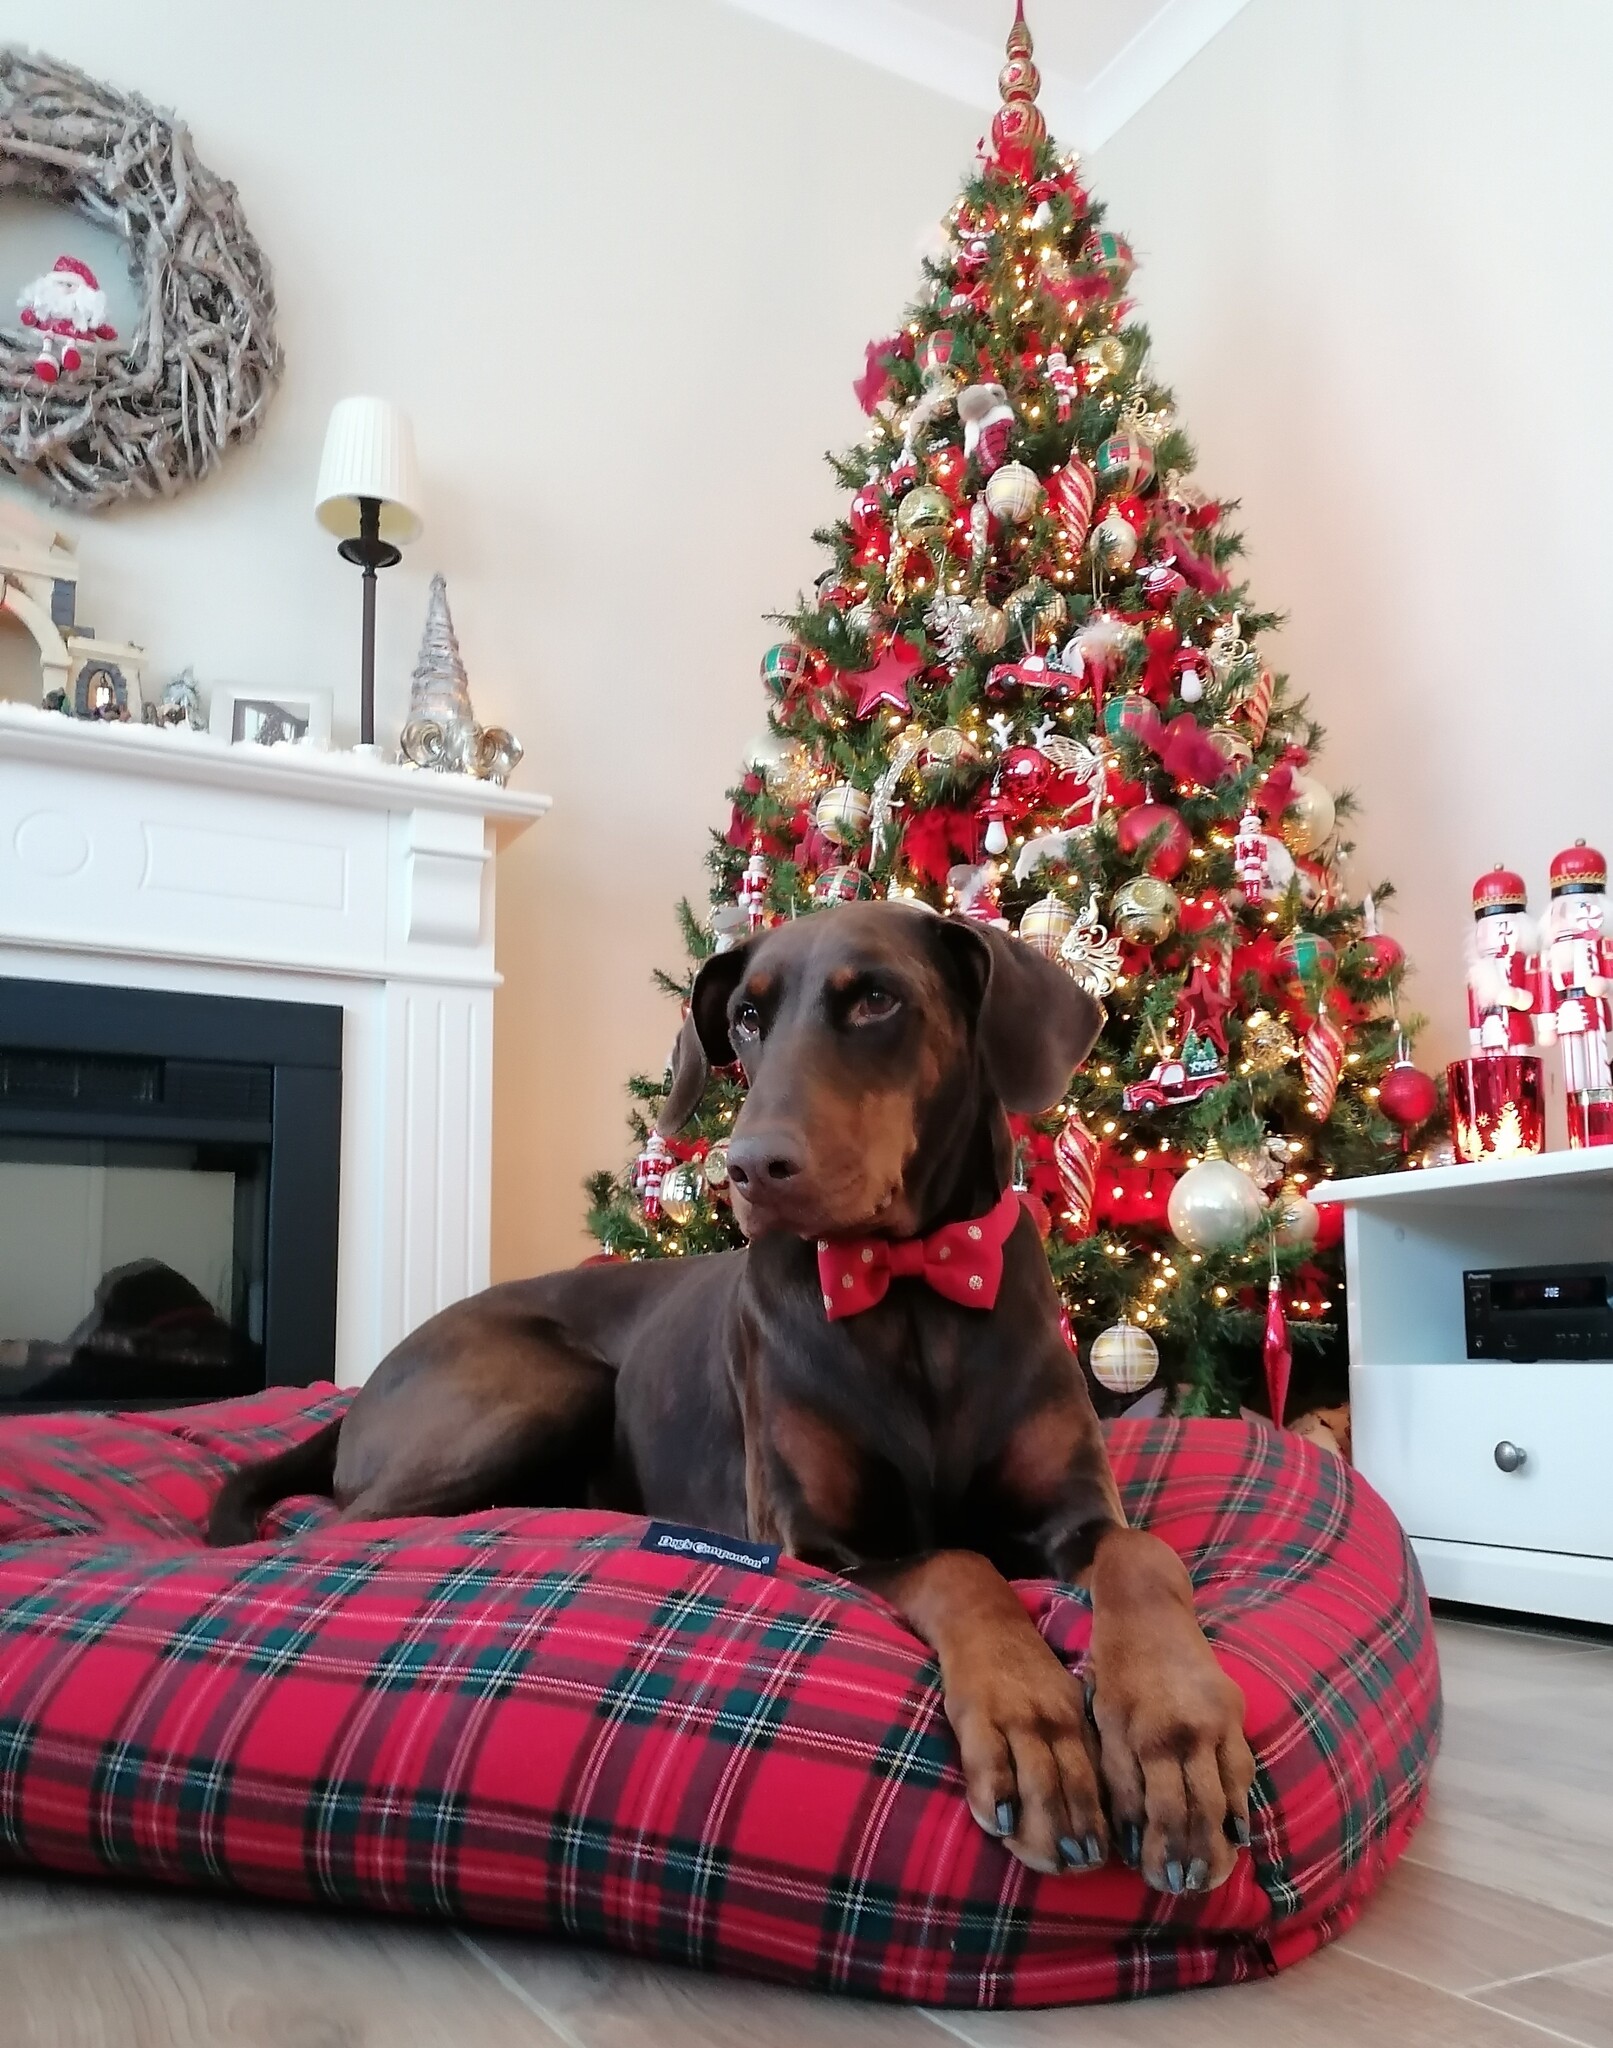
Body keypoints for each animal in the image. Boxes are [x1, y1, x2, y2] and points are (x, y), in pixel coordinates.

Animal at [209, 902, 1254, 1891]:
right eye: (747, 1018)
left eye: (877, 1001)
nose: (750, 1166)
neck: (911, 1290)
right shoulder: (817, 1542)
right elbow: (958, 1565)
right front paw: (1033, 1728)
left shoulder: (1074, 1509)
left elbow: (1140, 1555)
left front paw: (1174, 1742)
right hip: (551, 1387)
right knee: (339, 1528)